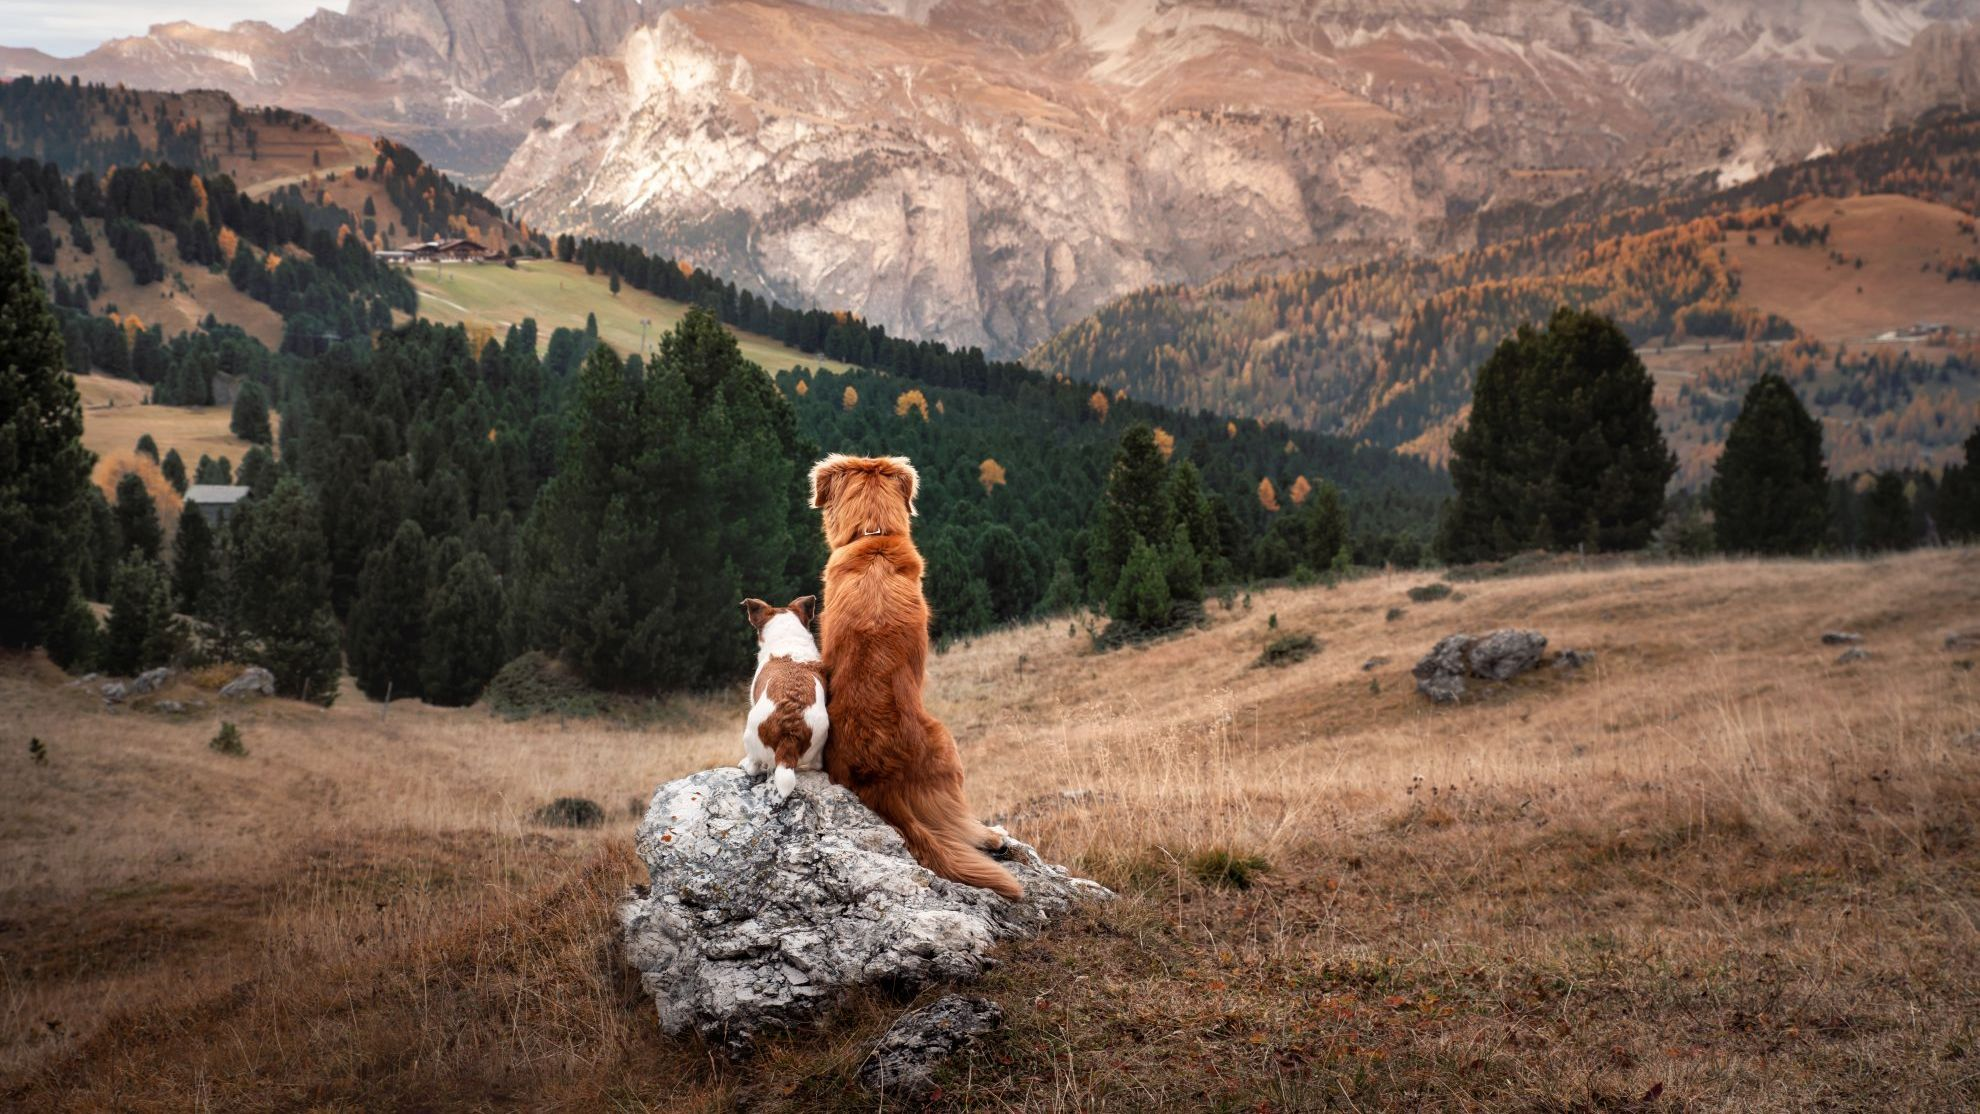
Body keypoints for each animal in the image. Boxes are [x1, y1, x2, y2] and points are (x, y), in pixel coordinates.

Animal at [744, 597, 831, 807]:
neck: (788, 638)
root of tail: (790, 733)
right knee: (816, 763)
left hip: (749, 732)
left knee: (754, 763)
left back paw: (747, 765)